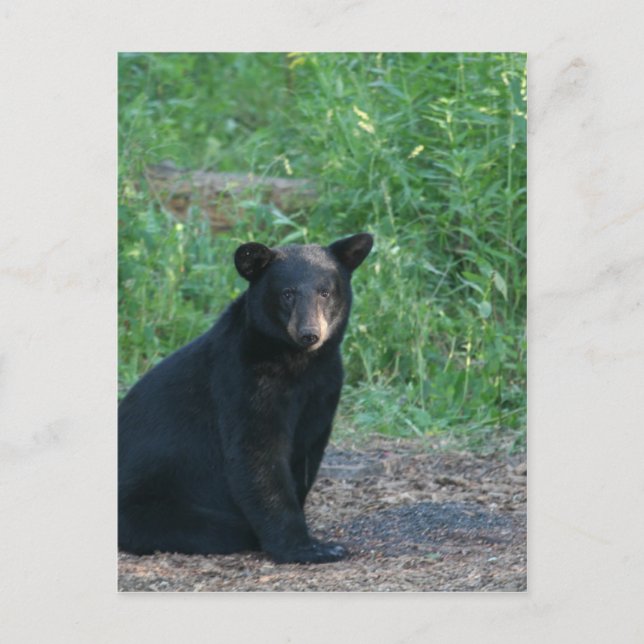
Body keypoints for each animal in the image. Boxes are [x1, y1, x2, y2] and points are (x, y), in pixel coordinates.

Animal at [118, 232, 373, 564]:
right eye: (287, 293)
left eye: (325, 292)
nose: (309, 334)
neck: (297, 363)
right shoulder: (242, 380)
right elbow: (255, 453)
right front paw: (308, 547)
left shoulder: (324, 386)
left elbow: (306, 451)